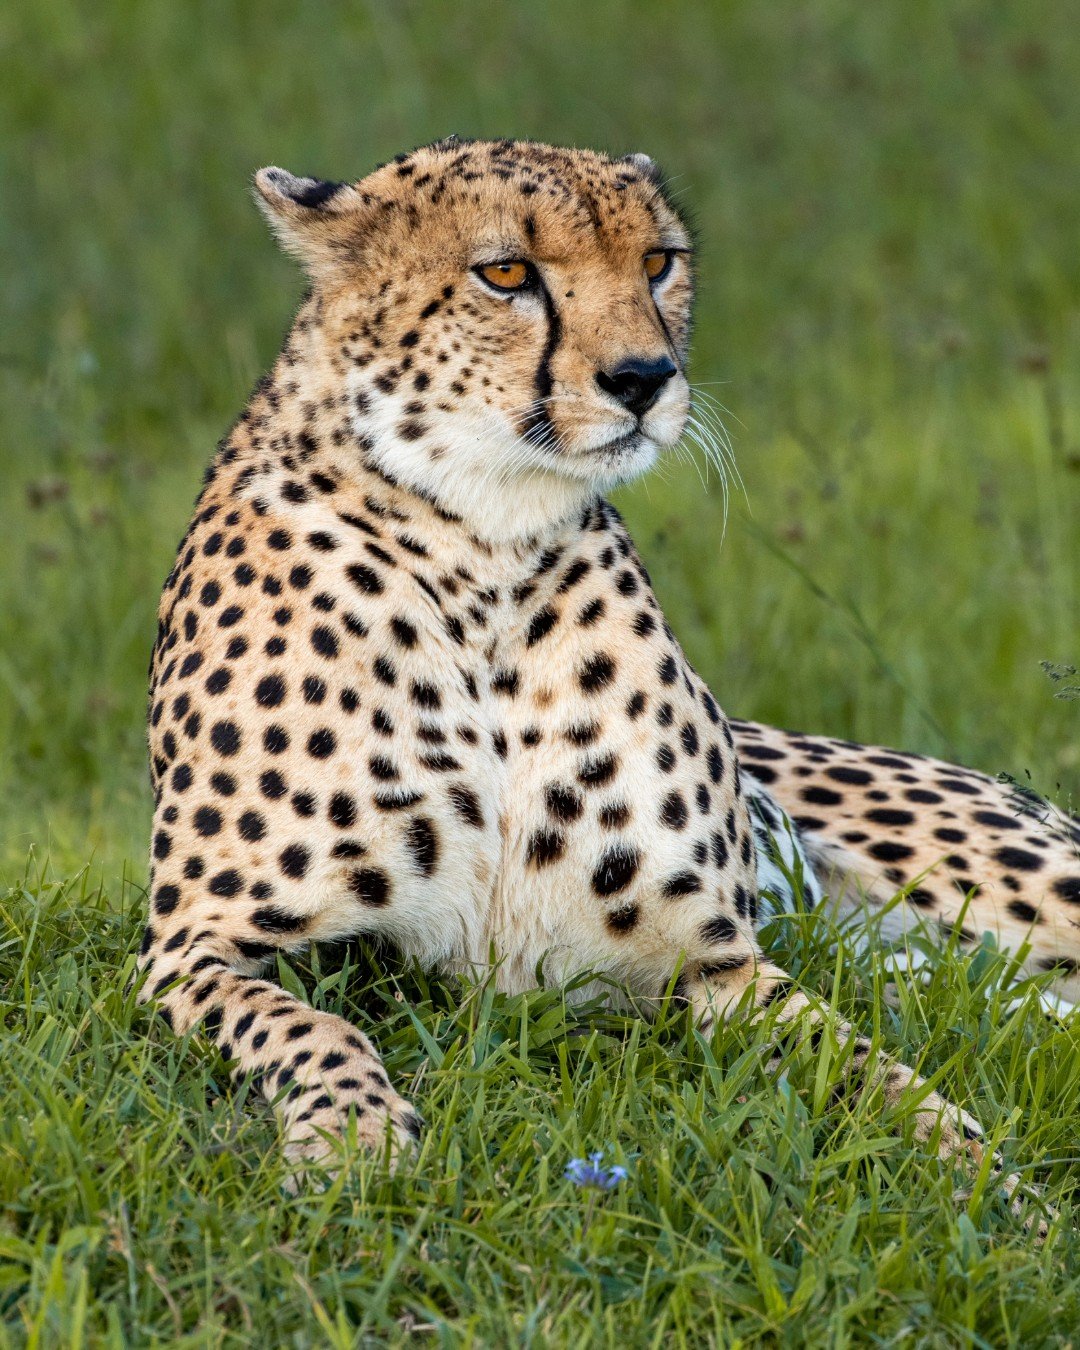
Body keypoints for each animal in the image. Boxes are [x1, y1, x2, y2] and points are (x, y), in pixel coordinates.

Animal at [140, 136, 1079, 1200]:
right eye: (508, 273)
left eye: (659, 262)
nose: (644, 377)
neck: (484, 559)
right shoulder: (196, 946)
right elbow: (314, 1028)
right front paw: (352, 1133)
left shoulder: (715, 963)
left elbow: (876, 1069)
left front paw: (993, 1183)